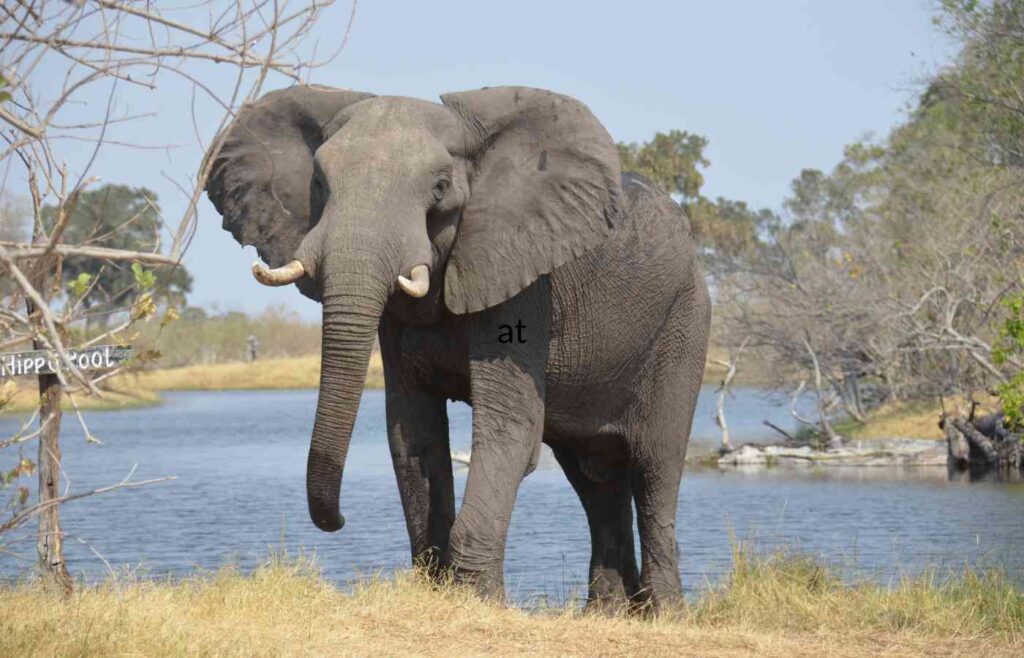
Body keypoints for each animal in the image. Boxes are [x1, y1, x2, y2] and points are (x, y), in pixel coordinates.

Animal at [203, 86, 708, 613]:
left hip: (686, 320)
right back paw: (608, 613)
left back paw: (664, 614)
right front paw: (439, 588)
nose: (338, 522)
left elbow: (510, 430)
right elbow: (412, 433)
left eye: (440, 187)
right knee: (594, 475)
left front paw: (480, 601)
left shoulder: (521, 276)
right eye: (319, 183)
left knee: (655, 465)